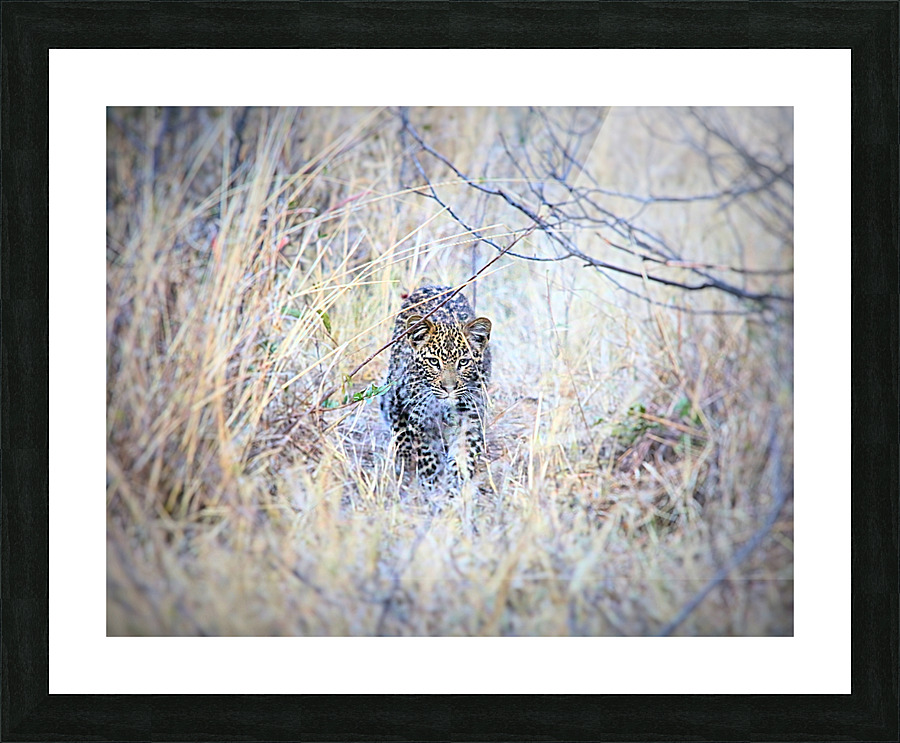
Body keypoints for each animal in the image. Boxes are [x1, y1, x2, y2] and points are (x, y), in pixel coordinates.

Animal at [380, 285, 492, 485]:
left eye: (464, 362)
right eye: (433, 362)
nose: (449, 388)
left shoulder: (470, 420)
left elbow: (462, 459)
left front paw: (454, 489)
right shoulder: (422, 421)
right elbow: (428, 459)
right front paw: (431, 485)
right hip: (393, 393)